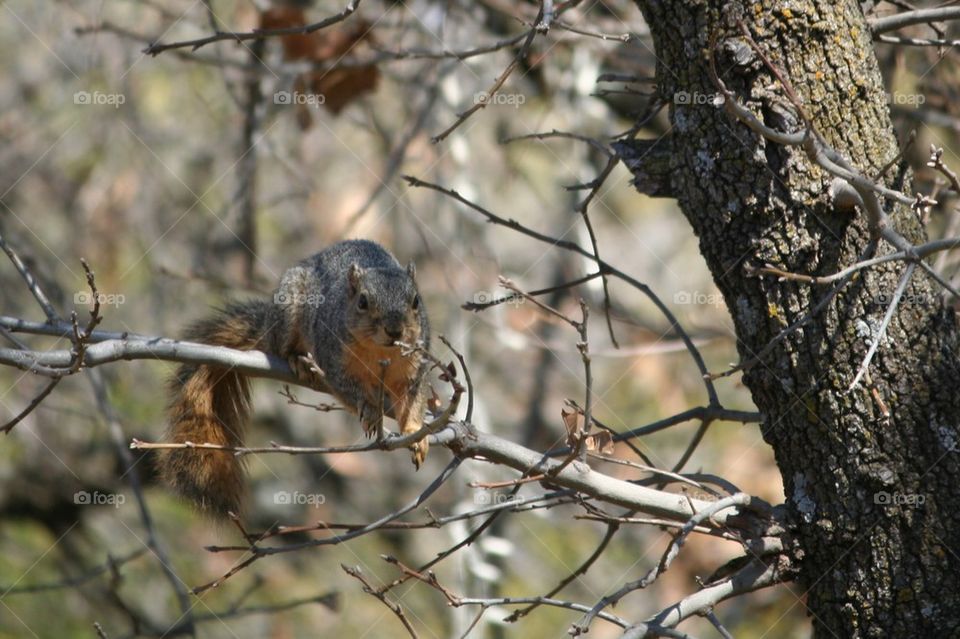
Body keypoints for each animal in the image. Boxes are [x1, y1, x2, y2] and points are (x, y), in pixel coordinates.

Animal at [157, 240, 431, 516]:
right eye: (363, 302)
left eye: (416, 301)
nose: (394, 331)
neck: (381, 352)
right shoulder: (333, 360)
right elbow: (347, 388)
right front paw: (371, 410)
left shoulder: (415, 366)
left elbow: (414, 400)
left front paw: (416, 435)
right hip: (289, 312)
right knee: (281, 347)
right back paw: (297, 360)